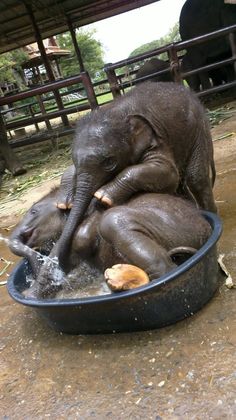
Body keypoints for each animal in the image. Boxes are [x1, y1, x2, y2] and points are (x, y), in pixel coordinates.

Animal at [52, 81, 217, 272]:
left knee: (195, 177)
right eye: (73, 159)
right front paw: (64, 203)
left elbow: (167, 173)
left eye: (109, 162)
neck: (113, 112)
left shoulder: (156, 139)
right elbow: (69, 170)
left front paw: (102, 197)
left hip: (199, 127)